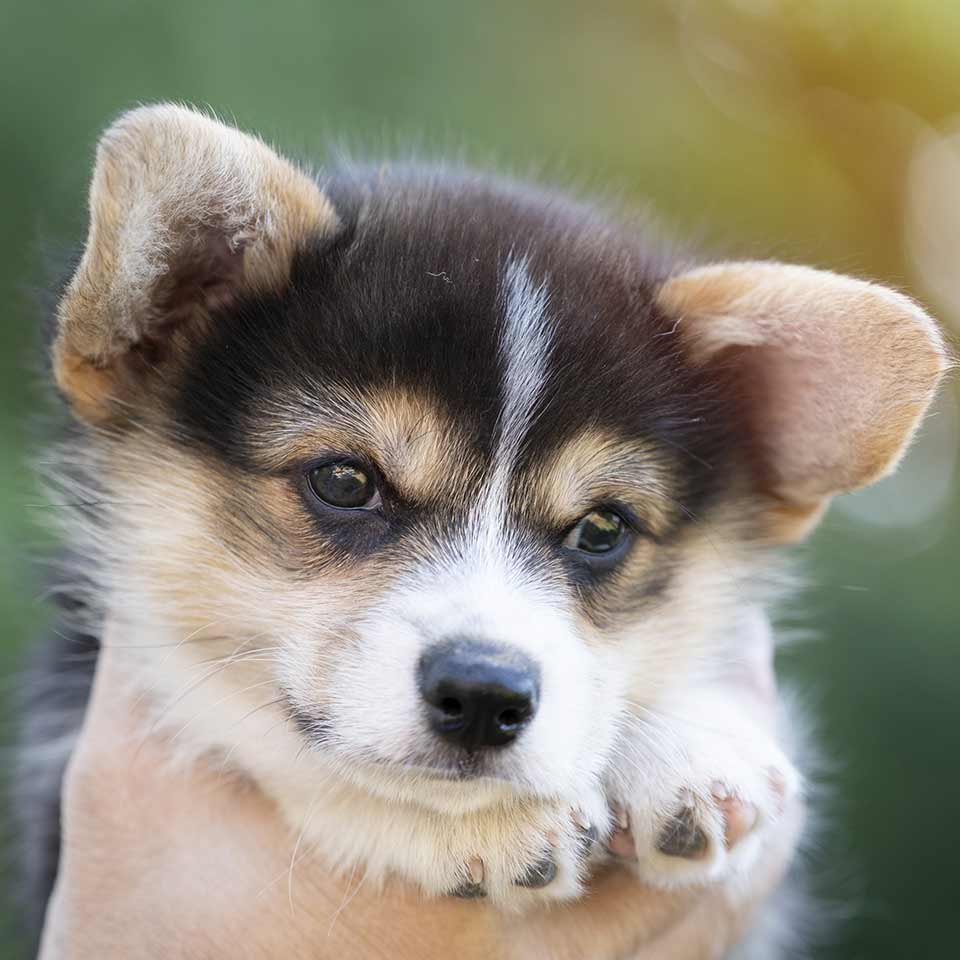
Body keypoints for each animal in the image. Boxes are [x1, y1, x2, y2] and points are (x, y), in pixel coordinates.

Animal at [11, 103, 948, 952]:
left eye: (601, 528)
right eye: (344, 481)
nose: (485, 696)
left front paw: (688, 748)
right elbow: (230, 715)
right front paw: (471, 827)